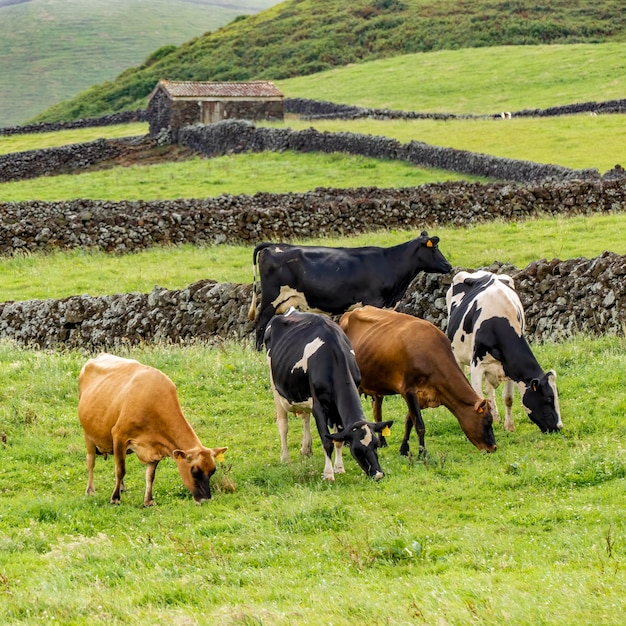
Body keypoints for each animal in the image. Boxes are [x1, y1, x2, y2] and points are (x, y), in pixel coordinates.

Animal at [77, 354, 225, 504]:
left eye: (213, 471)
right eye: (194, 472)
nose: (206, 499)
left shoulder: (156, 446)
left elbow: (150, 475)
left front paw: (148, 500)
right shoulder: (119, 435)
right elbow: (120, 469)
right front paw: (115, 498)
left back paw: (122, 487)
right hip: (88, 433)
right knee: (91, 462)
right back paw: (90, 490)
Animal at [247, 230, 448, 348]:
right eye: (434, 248)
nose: (448, 265)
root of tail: (274, 245)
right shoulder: (373, 302)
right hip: (271, 297)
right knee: (260, 323)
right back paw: (259, 351)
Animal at [262, 310, 390, 480]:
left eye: (376, 444)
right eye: (357, 449)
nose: (378, 474)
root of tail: (291, 310)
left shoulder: (335, 408)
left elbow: (338, 439)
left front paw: (339, 468)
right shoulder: (319, 407)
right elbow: (327, 441)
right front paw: (328, 474)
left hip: (304, 394)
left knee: (305, 417)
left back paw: (306, 449)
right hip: (276, 388)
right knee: (283, 425)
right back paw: (285, 458)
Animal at [338, 306, 494, 456]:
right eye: (488, 421)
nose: (493, 447)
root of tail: (348, 314)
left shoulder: (421, 395)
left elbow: (409, 422)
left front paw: (404, 449)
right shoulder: (408, 389)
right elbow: (419, 425)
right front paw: (422, 453)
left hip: (377, 384)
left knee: (377, 411)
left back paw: (382, 442)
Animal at [444, 268, 560, 434]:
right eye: (548, 399)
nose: (559, 427)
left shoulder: (510, 368)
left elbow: (508, 398)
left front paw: (509, 426)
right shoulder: (476, 365)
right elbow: (478, 399)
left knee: (489, 390)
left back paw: (496, 417)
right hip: (457, 355)